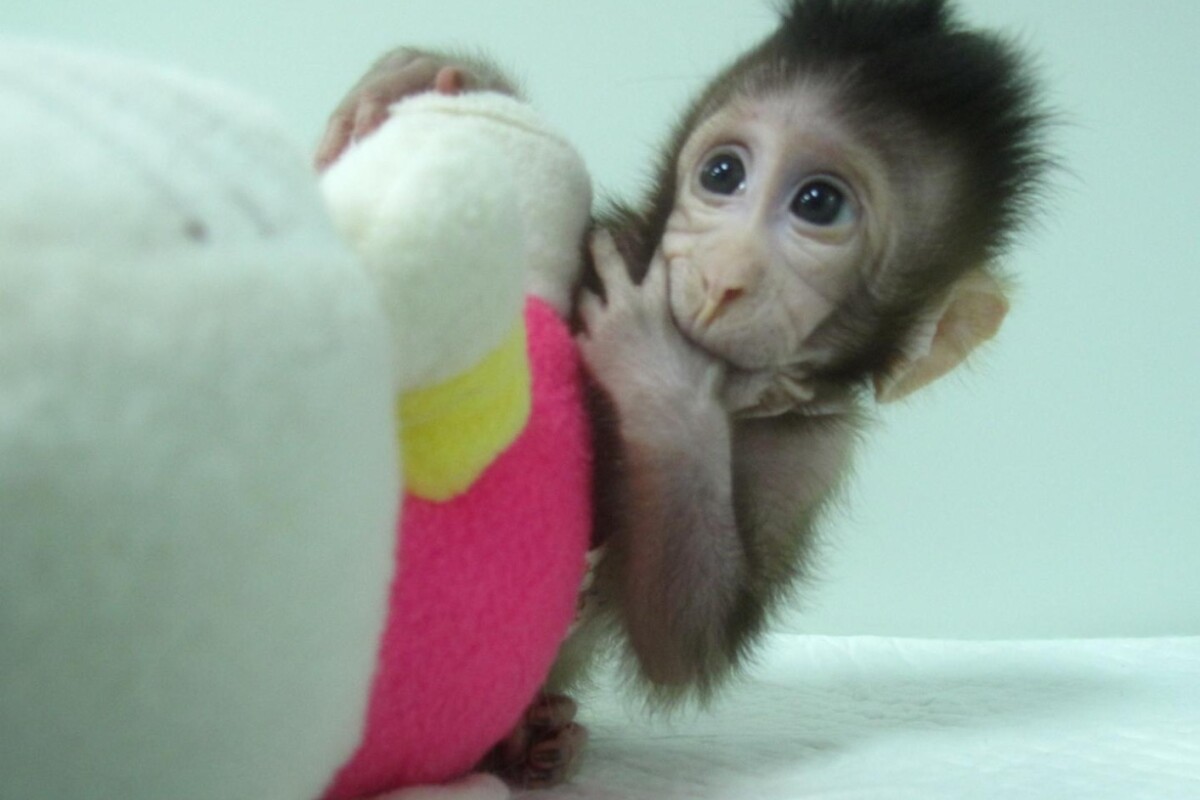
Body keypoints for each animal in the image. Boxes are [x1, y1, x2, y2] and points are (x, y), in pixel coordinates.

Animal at [316, 0, 1048, 787]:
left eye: (820, 204)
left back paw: (530, 744)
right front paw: (427, 72)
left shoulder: (815, 450)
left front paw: (660, 376)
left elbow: (682, 644)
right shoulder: (616, 243)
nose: (724, 276)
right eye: (723, 173)